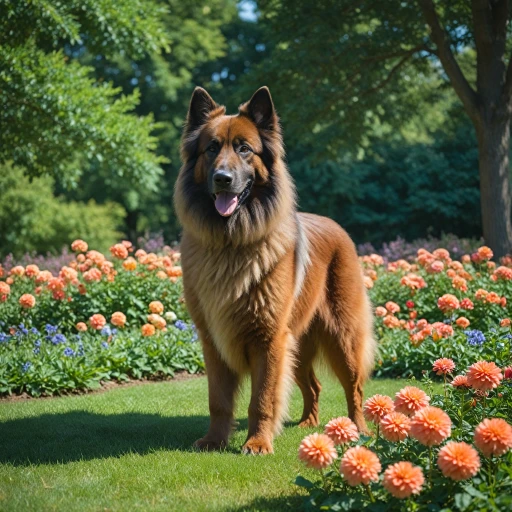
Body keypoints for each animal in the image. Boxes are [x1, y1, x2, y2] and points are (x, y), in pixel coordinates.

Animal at [173, 86, 376, 454]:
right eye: (211, 148)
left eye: (244, 149)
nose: (222, 179)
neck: (231, 243)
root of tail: (335, 225)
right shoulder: (213, 341)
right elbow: (218, 400)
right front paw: (214, 440)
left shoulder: (268, 339)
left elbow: (262, 398)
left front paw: (257, 442)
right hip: (296, 343)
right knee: (314, 385)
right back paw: (308, 423)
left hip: (341, 338)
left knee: (354, 388)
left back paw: (359, 430)